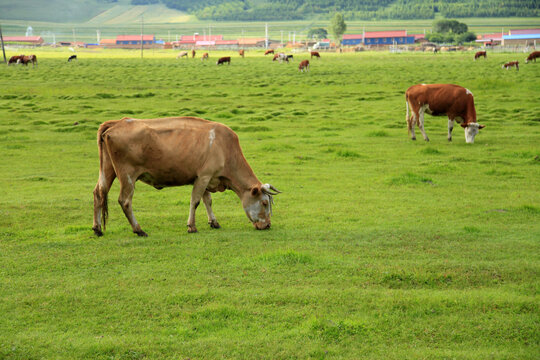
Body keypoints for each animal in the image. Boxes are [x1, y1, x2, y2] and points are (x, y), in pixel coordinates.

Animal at [92, 116, 282, 236]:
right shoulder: (203, 176)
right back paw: (138, 229)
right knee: (125, 201)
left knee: (99, 193)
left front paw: (213, 222)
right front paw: (192, 226)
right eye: (264, 203)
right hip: (128, 175)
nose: (268, 225)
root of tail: (116, 123)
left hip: (107, 170)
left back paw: (98, 228)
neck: (225, 148)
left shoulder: (207, 178)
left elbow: (207, 200)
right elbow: (196, 201)